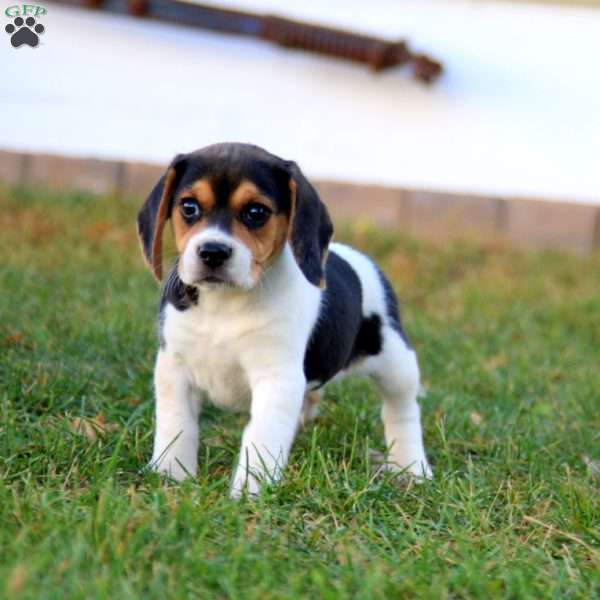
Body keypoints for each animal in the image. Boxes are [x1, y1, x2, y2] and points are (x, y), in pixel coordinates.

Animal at [137, 143, 432, 500]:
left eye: (256, 212)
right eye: (189, 207)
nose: (212, 252)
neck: (224, 304)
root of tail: (362, 260)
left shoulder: (276, 378)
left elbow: (261, 436)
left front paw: (249, 492)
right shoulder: (174, 368)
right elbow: (176, 425)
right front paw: (171, 477)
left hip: (396, 364)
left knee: (402, 411)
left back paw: (412, 466)